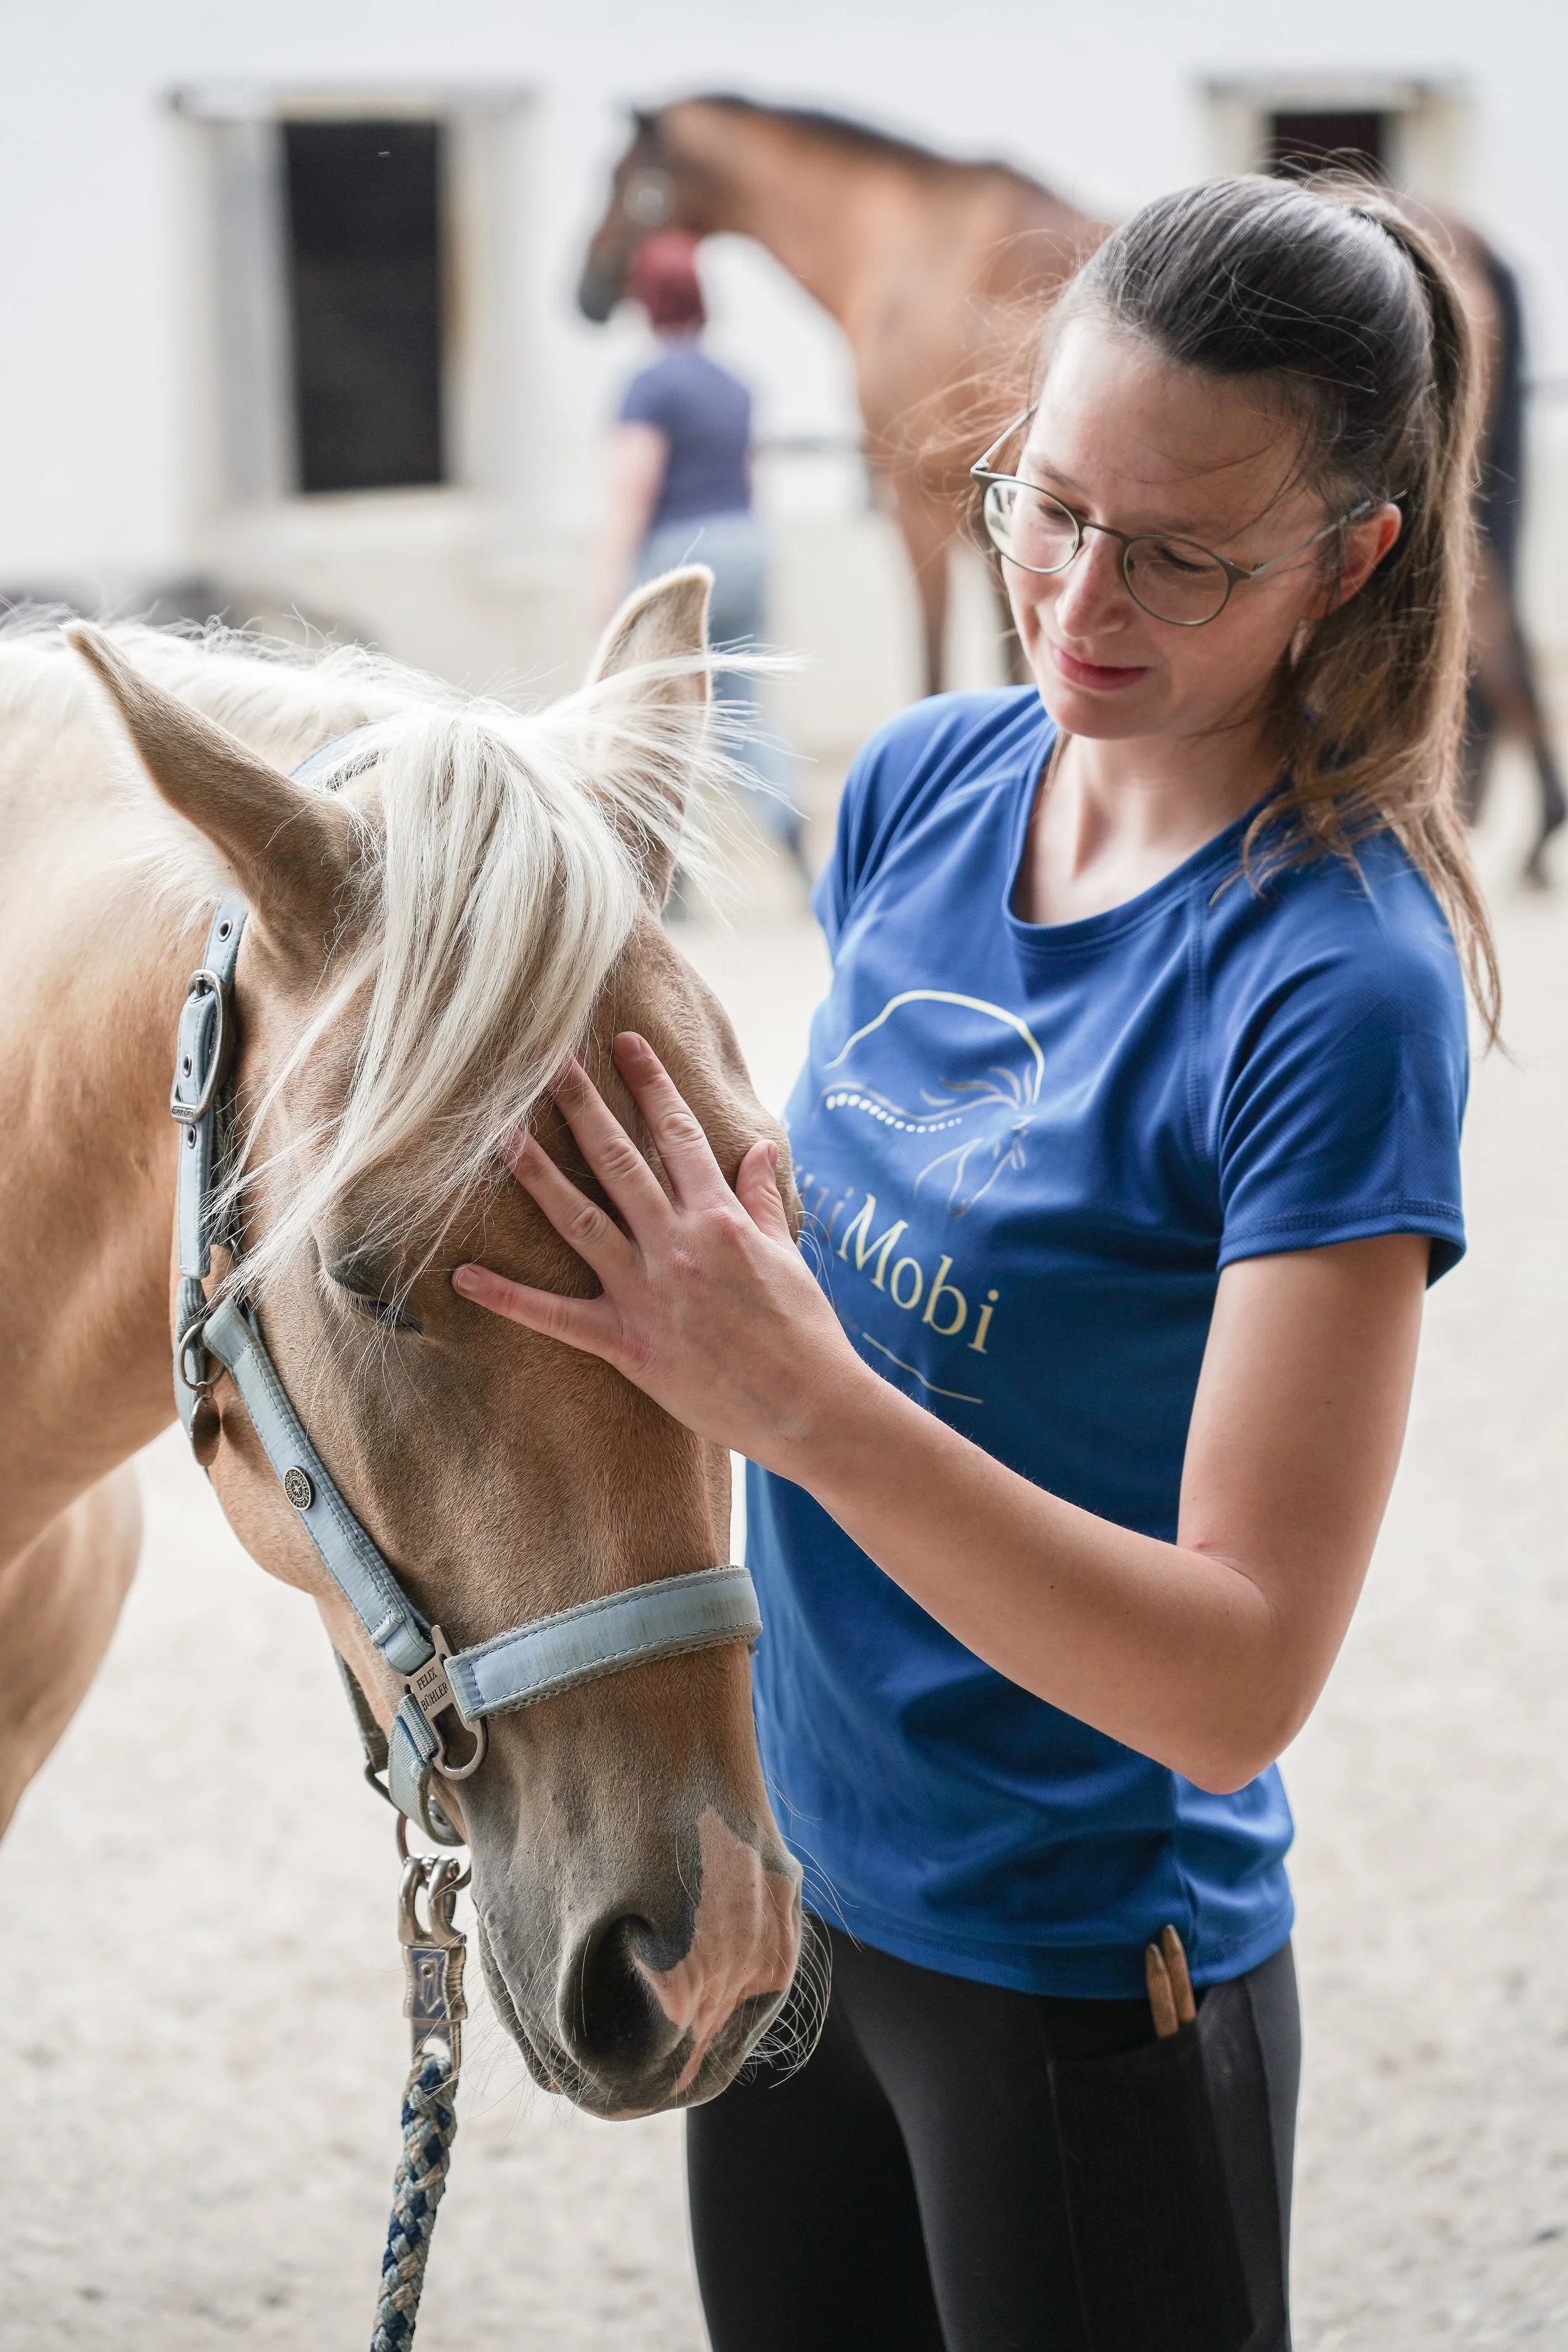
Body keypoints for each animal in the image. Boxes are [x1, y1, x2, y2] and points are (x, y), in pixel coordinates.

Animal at [578, 94, 1565, 884]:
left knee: (1499, 639)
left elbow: (934, 652)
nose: (584, 293)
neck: (904, 241)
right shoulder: (1010, 515)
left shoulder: (919, 497)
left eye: (628, 181)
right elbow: (1017, 661)